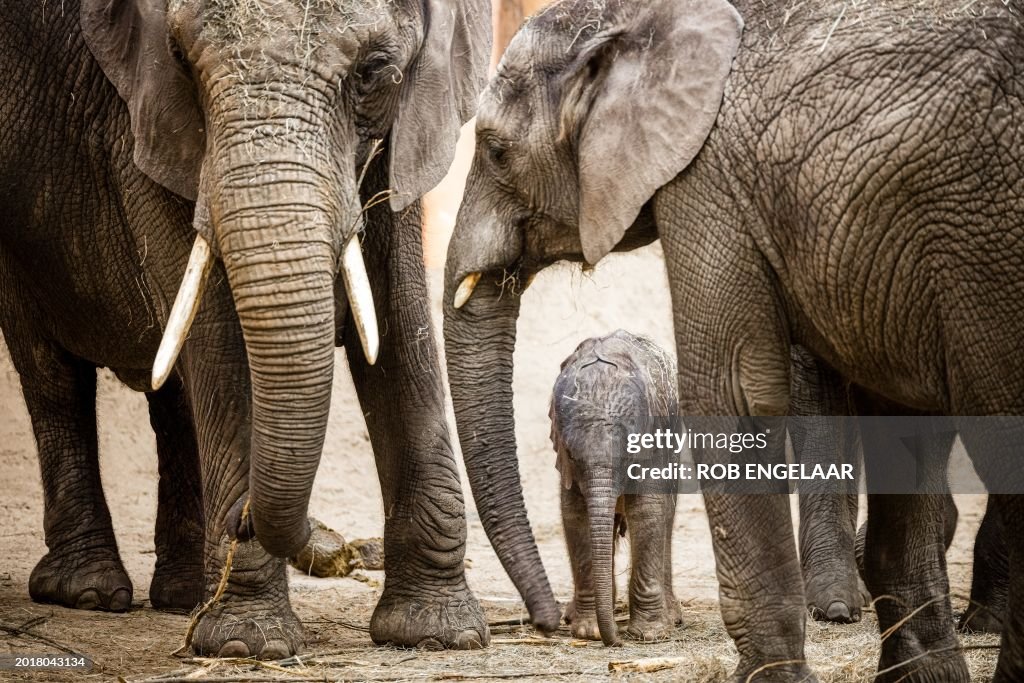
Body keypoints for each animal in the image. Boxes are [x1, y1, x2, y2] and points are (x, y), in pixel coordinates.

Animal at [0, 0, 491, 658]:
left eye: (372, 71)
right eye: (182, 64)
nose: (246, 519)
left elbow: (398, 315)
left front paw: (439, 635)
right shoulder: (144, 119)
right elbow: (221, 342)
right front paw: (246, 645)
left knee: (171, 395)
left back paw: (182, 597)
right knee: (52, 376)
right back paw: (89, 592)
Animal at [549, 330, 681, 645]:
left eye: (631, 450)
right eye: (571, 454)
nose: (616, 642)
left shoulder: (655, 438)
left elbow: (648, 510)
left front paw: (649, 634)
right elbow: (576, 514)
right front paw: (588, 631)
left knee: (666, 515)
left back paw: (672, 618)